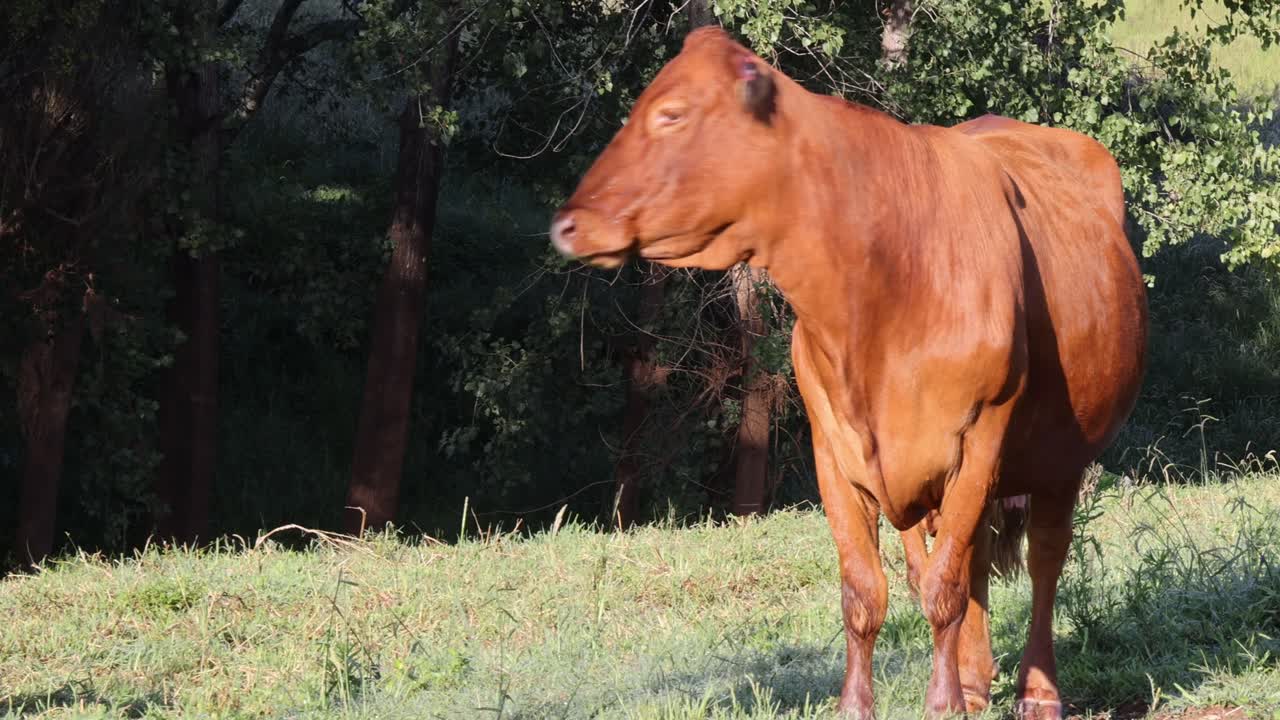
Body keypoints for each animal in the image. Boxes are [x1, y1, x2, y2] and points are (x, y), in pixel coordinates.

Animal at [549, 27, 1148, 720]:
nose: (566, 224)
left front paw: (941, 703)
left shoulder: (981, 437)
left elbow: (944, 588)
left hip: (1061, 455)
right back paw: (975, 682)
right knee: (969, 561)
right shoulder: (834, 449)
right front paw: (867, 704)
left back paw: (1038, 691)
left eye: (670, 114)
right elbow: (868, 592)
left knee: (1045, 559)